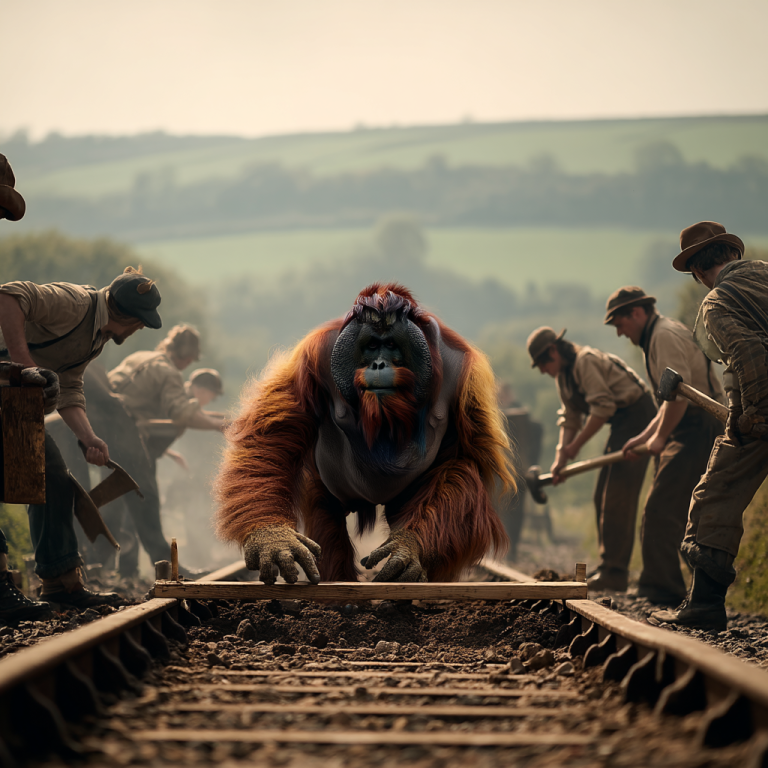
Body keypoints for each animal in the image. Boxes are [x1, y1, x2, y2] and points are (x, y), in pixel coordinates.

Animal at [215, 284, 515, 584]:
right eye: (371, 346)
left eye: (391, 345)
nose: (379, 364)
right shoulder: (312, 356)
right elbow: (272, 437)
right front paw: (274, 541)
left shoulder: (467, 378)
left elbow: (463, 463)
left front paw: (408, 547)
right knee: (326, 520)